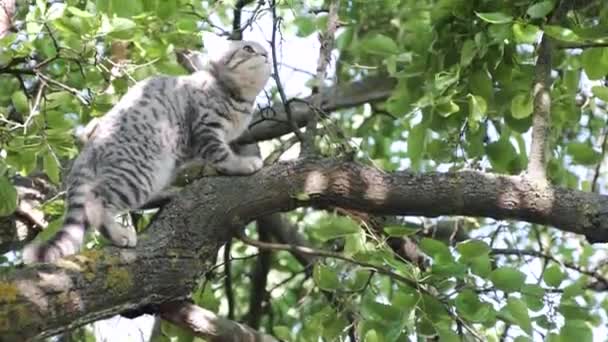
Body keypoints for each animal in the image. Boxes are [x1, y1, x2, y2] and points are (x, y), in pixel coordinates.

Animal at [23, 40, 270, 264]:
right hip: (139, 172)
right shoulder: (205, 127)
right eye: (248, 48)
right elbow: (221, 153)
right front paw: (241, 164)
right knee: (96, 201)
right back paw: (118, 234)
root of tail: (88, 148)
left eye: (265, 49)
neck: (235, 95)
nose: (266, 55)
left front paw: (210, 170)